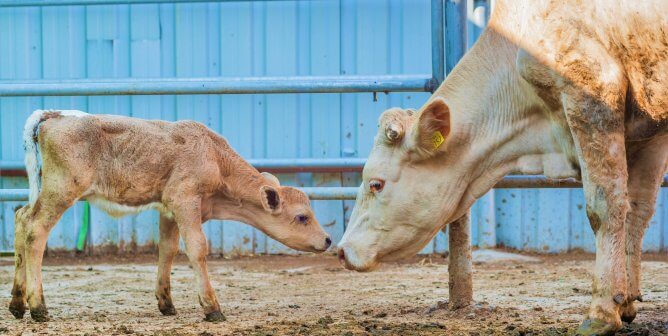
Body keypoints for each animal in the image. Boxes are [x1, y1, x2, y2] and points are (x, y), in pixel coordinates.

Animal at [9, 109, 332, 322]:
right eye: (302, 217)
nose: (328, 240)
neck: (214, 156)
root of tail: (56, 114)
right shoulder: (185, 201)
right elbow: (197, 248)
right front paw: (212, 307)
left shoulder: (168, 210)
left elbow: (168, 250)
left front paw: (166, 303)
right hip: (61, 190)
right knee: (35, 230)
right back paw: (38, 307)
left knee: (21, 219)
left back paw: (17, 303)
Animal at [340, 1, 668, 334]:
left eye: (376, 183)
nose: (341, 250)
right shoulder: (649, 131)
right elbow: (637, 210)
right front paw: (625, 303)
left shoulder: (592, 95)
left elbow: (604, 208)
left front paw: (601, 311)